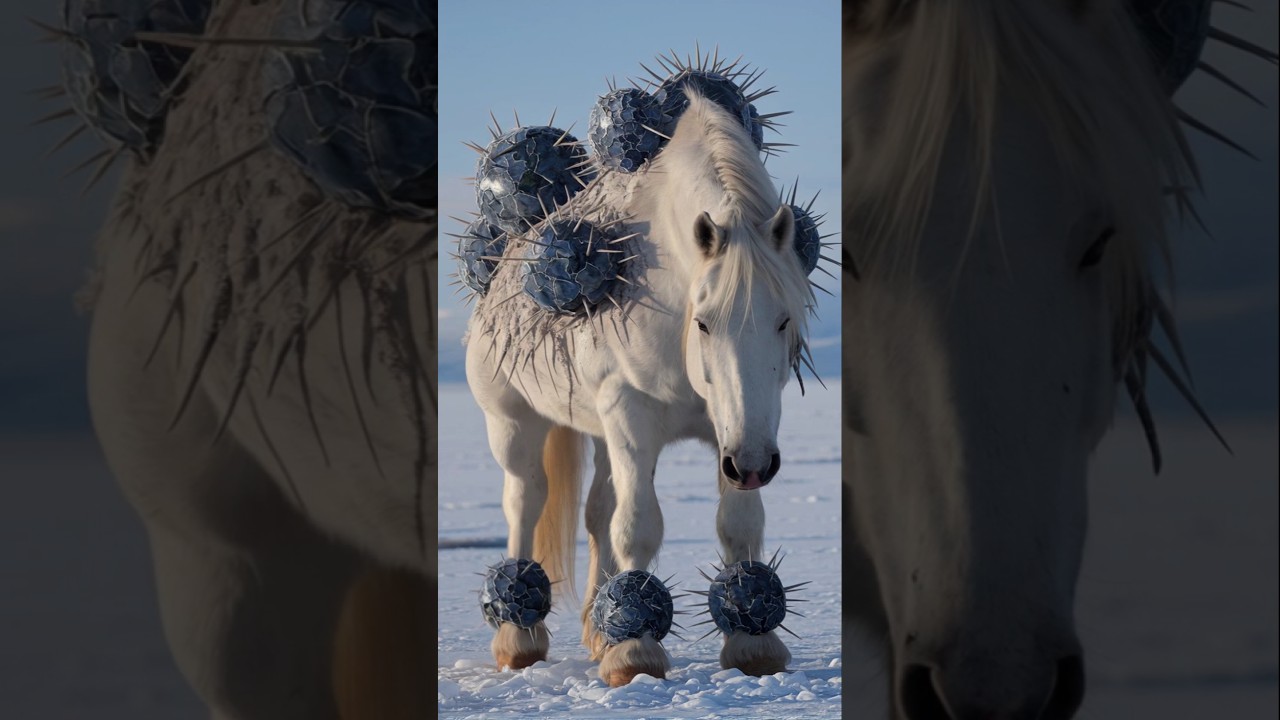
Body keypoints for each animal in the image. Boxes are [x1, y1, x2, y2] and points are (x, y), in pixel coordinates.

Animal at [462, 88, 816, 686]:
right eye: (704, 322)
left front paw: (753, 644)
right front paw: (634, 652)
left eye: (783, 320)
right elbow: (638, 527)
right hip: (513, 424)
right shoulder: (632, 413)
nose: (752, 465)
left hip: (605, 434)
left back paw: (595, 634)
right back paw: (518, 638)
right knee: (525, 502)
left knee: (597, 511)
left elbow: (739, 525)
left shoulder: (739, 430)